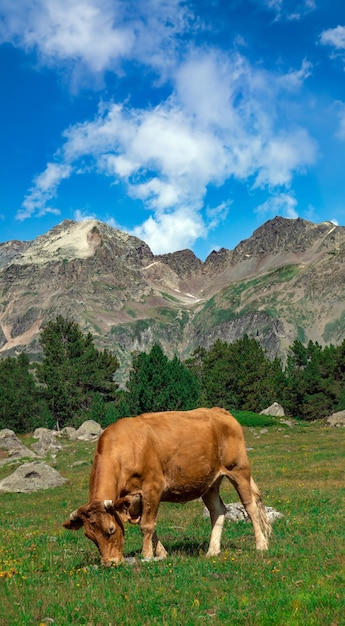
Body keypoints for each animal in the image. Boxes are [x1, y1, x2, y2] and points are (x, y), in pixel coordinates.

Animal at [63, 408, 270, 564]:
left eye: (111, 529)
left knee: (250, 506)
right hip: (210, 481)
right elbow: (148, 524)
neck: (125, 448)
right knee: (218, 510)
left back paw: (261, 545)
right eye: (89, 536)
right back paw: (212, 550)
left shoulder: (153, 487)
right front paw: (161, 553)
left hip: (238, 469)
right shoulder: (132, 499)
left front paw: (147, 555)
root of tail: (219, 411)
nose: (109, 563)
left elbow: (147, 525)